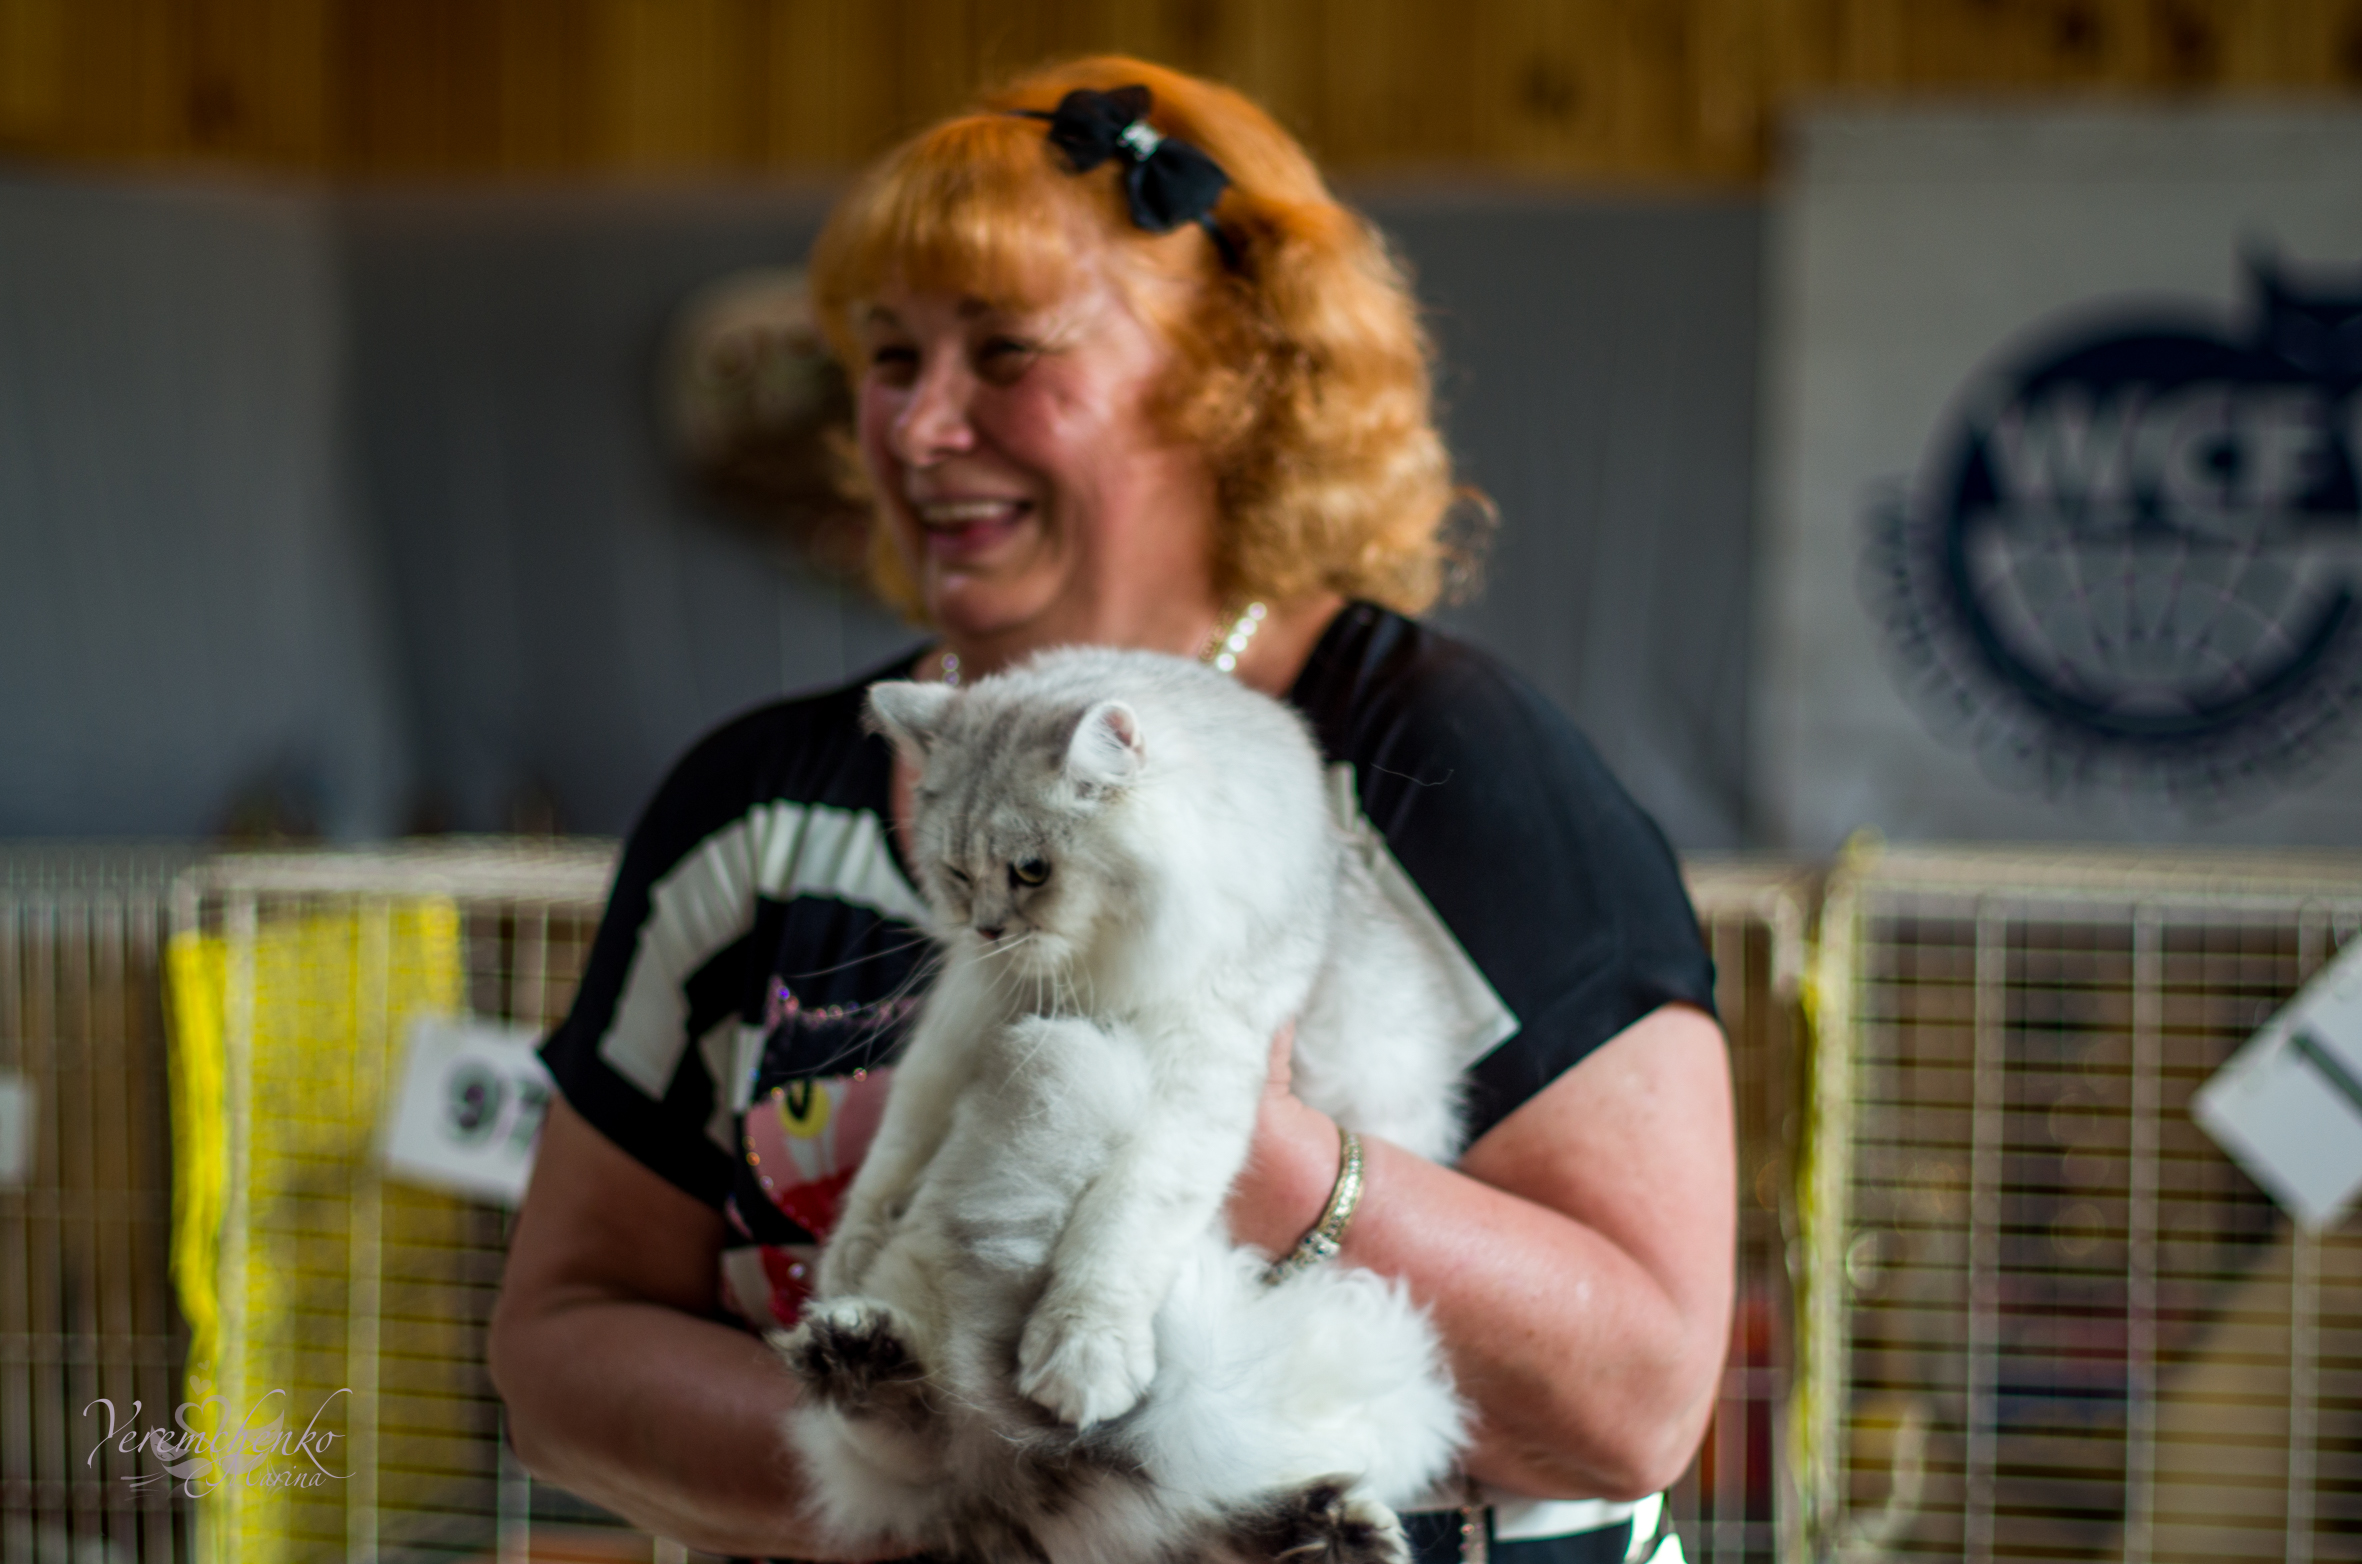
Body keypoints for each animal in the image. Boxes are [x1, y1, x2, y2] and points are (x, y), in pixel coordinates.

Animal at [772, 645, 1472, 1564]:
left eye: (1033, 870)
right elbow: (893, 1157)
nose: (989, 930)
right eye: (957, 874)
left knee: (1192, 1508)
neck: (1093, 981)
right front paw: (843, 1263)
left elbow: (1121, 1227)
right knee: (920, 1446)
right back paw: (858, 1353)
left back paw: (1329, 1529)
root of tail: (1016, 1505)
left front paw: (1081, 1358)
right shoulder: (964, 1017)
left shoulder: (1202, 1065)